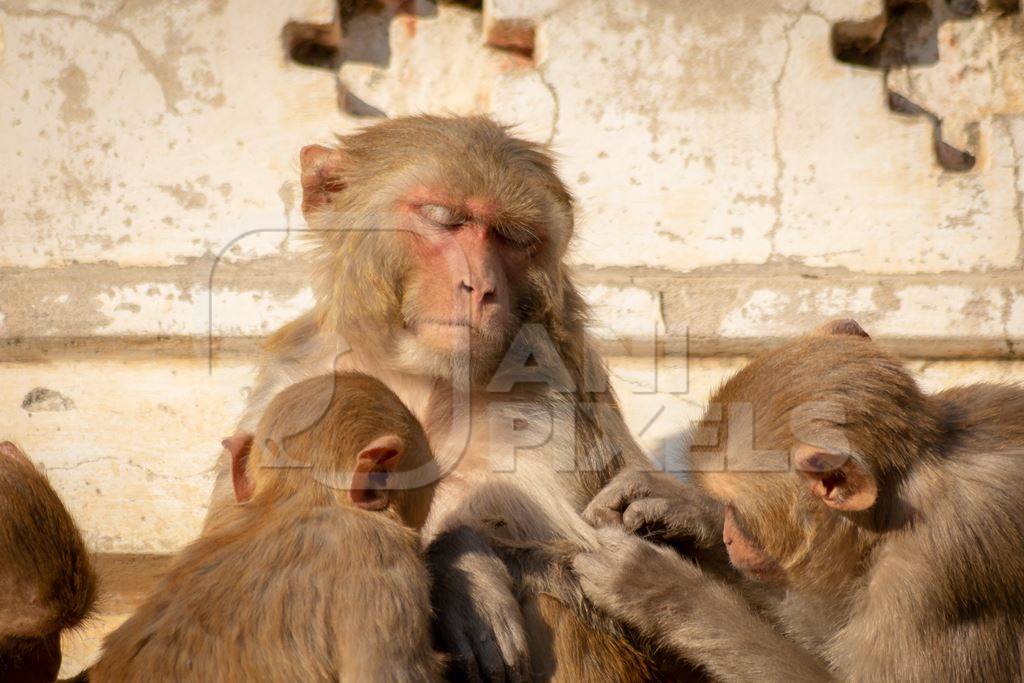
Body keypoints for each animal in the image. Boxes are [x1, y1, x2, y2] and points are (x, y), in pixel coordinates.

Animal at [577, 321, 1024, 683]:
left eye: (737, 515)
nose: (729, 538)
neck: (896, 508)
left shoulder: (934, 573)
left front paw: (655, 583)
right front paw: (679, 507)